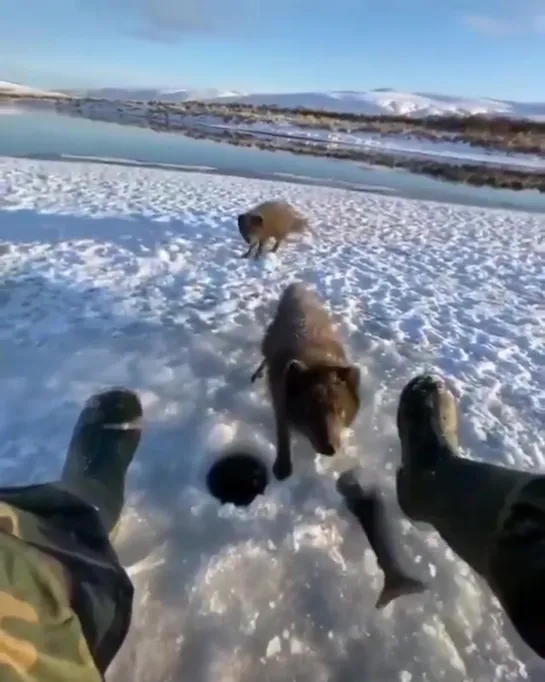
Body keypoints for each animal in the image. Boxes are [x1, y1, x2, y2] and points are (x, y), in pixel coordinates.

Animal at [252, 282, 362, 478]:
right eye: (308, 409)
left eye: (340, 410)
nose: (330, 450)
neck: (317, 358)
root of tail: (297, 285)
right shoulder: (279, 401)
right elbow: (283, 434)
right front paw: (282, 467)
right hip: (267, 342)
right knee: (265, 356)